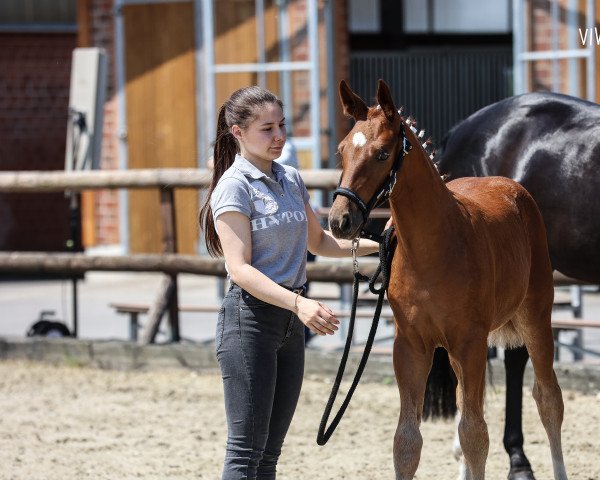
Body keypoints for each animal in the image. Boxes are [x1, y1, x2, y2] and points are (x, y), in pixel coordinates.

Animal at [328, 80, 568, 480]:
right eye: (342, 150)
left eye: (381, 154)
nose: (339, 221)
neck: (431, 247)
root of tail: (510, 186)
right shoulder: (410, 346)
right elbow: (407, 440)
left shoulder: (469, 342)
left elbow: (475, 434)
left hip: (535, 317)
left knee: (547, 399)